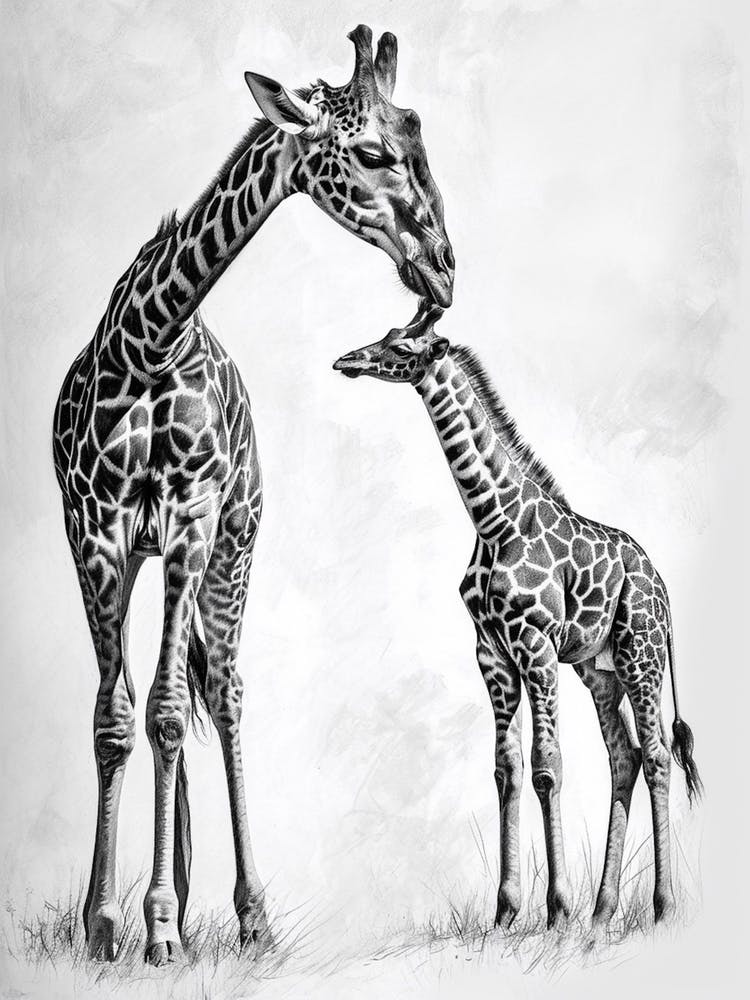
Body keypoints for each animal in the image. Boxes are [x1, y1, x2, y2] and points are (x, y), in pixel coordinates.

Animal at [53, 26, 454, 966]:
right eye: (374, 151)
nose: (444, 270)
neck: (149, 338)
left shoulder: (193, 523)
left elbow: (168, 713)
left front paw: (163, 927)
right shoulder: (95, 531)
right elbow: (114, 718)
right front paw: (103, 923)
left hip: (235, 547)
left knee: (229, 695)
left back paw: (251, 916)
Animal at [334, 303, 702, 931]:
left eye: (403, 347)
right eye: (387, 334)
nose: (346, 361)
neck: (494, 519)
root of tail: (663, 589)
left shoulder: (536, 645)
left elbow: (546, 766)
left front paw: (556, 909)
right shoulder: (493, 652)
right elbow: (506, 766)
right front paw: (506, 911)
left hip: (642, 655)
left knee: (655, 756)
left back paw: (661, 907)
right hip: (600, 672)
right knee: (624, 758)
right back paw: (602, 911)